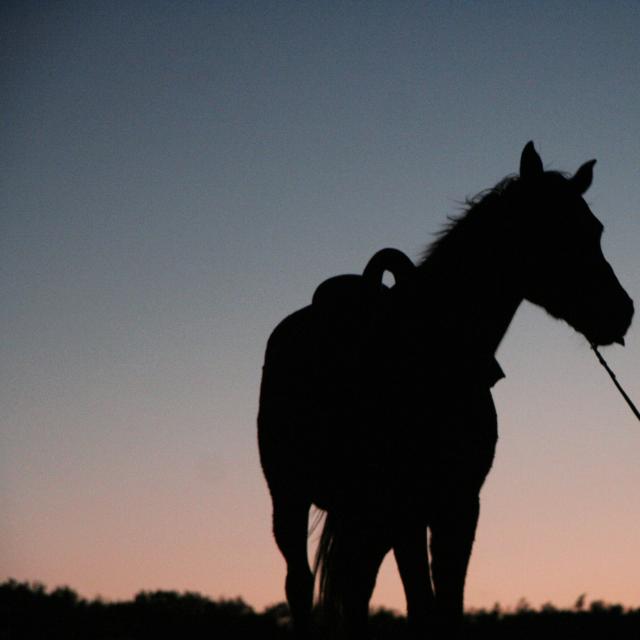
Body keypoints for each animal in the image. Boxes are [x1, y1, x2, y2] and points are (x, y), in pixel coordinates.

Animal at [256, 142, 636, 636]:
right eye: (552, 229)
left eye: (595, 229)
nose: (621, 312)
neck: (430, 356)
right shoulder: (404, 509)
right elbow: (422, 604)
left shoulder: (458, 506)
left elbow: (447, 603)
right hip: (293, 497)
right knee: (300, 584)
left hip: (364, 518)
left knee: (357, 587)